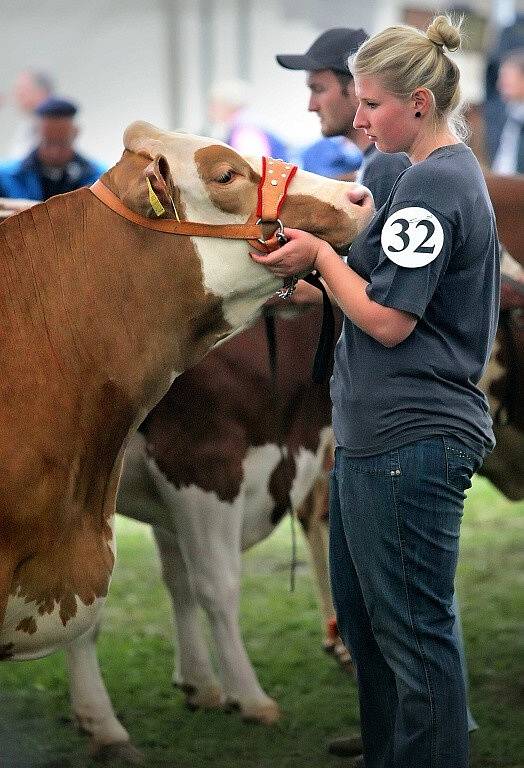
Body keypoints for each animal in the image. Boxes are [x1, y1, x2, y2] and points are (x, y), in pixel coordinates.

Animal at [0, 120, 370, 756]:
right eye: (224, 175)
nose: (359, 196)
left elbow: (179, 582)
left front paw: (201, 684)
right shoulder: (201, 465)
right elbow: (215, 585)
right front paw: (248, 695)